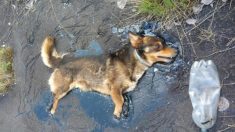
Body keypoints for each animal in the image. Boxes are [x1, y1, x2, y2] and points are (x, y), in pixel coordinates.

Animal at [40, 32, 176, 118]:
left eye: (165, 43)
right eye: (158, 46)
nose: (177, 51)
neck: (134, 61)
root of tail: (61, 61)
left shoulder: (123, 92)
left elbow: (123, 100)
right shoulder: (114, 88)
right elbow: (120, 101)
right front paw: (117, 114)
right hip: (63, 89)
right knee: (55, 98)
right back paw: (52, 110)